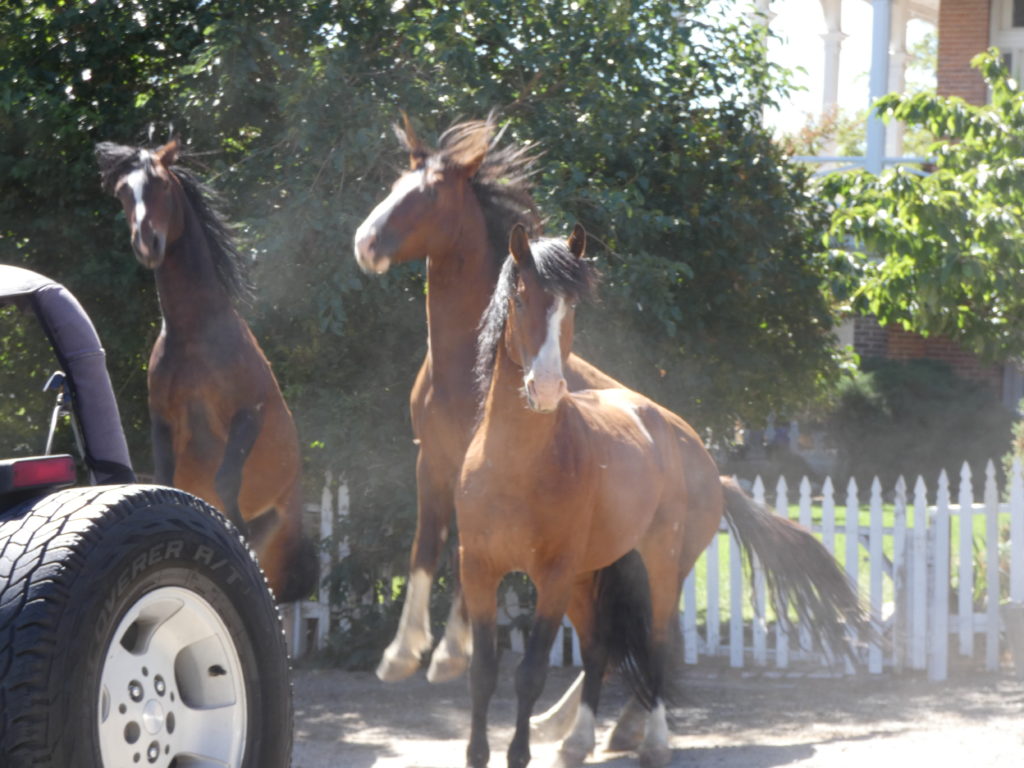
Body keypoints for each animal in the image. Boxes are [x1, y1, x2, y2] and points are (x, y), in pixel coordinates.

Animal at [96, 138, 316, 603]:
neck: (194, 336)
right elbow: (165, 479)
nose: (148, 243)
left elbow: (228, 479)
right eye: (123, 192)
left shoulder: (248, 414)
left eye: (161, 184)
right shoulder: (162, 421)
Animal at [353, 115, 621, 683]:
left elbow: (464, 553)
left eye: (429, 194)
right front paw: (402, 651)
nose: (365, 242)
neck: (462, 371)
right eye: (395, 186)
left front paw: (452, 651)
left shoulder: (473, 471)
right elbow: (427, 544)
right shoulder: (431, 460)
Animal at [457, 223, 873, 768]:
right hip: (589, 577)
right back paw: (578, 742)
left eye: (572, 307)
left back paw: (654, 741)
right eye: (521, 298)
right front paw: (478, 754)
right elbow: (483, 673)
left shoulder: (552, 577)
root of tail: (699, 454)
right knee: (598, 647)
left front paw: (519, 754)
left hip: (659, 565)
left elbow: (529, 674)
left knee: (657, 643)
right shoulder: (478, 572)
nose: (545, 388)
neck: (516, 466)